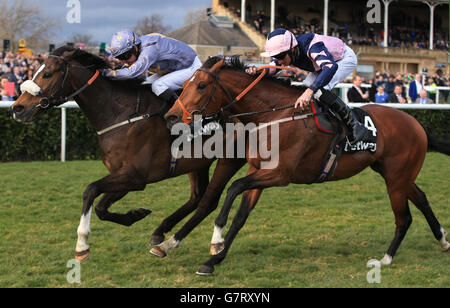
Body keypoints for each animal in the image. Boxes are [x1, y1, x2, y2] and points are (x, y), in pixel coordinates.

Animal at [10, 47, 246, 264]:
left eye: (47, 74)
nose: (17, 108)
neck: (120, 114)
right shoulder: (123, 176)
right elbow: (101, 208)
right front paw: (136, 214)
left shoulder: (135, 176)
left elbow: (90, 190)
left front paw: (82, 245)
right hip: (197, 163)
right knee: (197, 197)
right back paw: (160, 233)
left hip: (230, 159)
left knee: (209, 200)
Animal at [165, 55, 450, 274]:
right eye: (186, 83)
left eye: (201, 85)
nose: (171, 116)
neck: (274, 115)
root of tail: (417, 124)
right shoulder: (258, 172)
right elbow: (240, 217)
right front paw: (213, 260)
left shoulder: (280, 174)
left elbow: (233, 188)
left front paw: (216, 239)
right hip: (395, 175)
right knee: (421, 198)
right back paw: (443, 240)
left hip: (396, 180)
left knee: (404, 218)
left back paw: (385, 259)